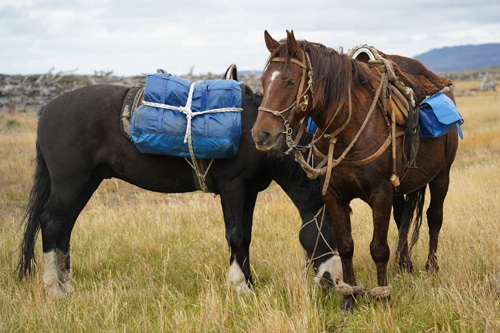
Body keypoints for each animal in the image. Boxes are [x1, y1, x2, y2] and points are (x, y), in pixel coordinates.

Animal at [17, 66, 342, 296]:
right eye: (328, 232)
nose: (335, 281)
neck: (252, 131)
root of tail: (47, 110)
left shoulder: (249, 191)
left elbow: (246, 236)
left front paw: (249, 283)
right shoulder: (232, 187)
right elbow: (236, 235)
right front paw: (240, 286)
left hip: (86, 182)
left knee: (65, 226)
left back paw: (66, 284)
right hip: (70, 182)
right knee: (52, 224)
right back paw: (54, 288)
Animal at [252, 29, 458, 310]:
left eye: (290, 82)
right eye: (263, 81)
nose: (261, 135)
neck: (348, 127)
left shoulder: (381, 194)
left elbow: (379, 248)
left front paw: (384, 299)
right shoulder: (334, 195)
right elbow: (346, 245)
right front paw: (349, 299)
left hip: (441, 176)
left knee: (434, 218)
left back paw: (431, 268)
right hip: (401, 188)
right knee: (403, 220)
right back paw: (404, 266)